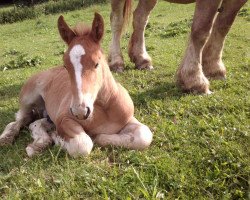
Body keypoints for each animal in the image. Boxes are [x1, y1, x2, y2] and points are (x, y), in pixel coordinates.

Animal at [0, 12, 152, 158]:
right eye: (66, 66)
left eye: (96, 63)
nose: (80, 111)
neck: (104, 109)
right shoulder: (63, 118)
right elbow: (82, 144)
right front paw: (57, 136)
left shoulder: (128, 118)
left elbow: (144, 135)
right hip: (28, 100)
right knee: (19, 120)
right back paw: (7, 139)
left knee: (35, 122)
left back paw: (39, 144)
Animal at [109, 0, 246, 94]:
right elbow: (201, 30)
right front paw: (195, 79)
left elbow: (224, 25)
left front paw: (215, 68)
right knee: (117, 20)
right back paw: (116, 62)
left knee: (141, 18)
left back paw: (142, 59)